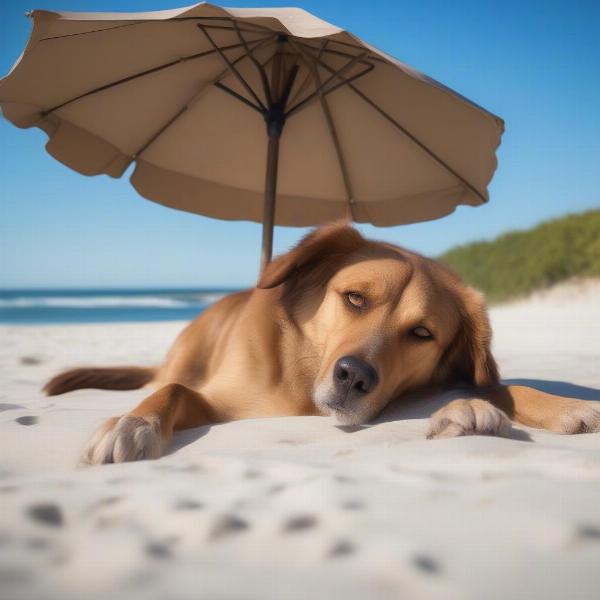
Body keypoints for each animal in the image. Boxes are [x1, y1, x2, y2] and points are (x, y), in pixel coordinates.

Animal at [43, 221, 600, 464]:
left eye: (422, 333)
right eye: (354, 298)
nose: (354, 377)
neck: (302, 373)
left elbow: (501, 386)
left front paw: (563, 403)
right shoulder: (222, 401)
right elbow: (175, 394)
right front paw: (134, 424)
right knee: (170, 379)